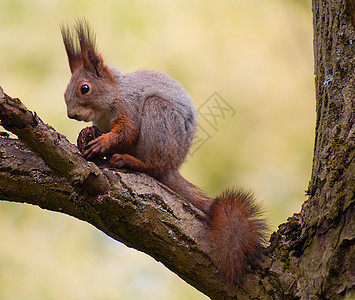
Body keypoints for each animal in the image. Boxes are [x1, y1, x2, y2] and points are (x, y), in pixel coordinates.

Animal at [61, 20, 268, 282]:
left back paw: (131, 161)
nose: (71, 115)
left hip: (157, 115)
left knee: (155, 168)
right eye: (65, 92)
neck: (112, 99)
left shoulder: (131, 108)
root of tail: (173, 165)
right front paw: (90, 136)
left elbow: (127, 131)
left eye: (85, 89)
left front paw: (102, 143)